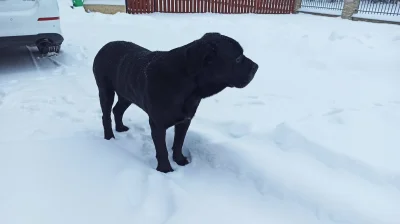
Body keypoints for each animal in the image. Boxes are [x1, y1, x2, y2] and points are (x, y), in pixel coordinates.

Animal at [92, 32, 258, 173]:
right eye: (238, 58)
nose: (256, 67)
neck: (186, 86)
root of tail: (104, 47)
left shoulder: (185, 120)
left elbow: (179, 142)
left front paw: (180, 160)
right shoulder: (157, 124)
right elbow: (162, 150)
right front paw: (165, 170)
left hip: (127, 94)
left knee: (117, 110)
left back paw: (120, 128)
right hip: (105, 90)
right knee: (106, 115)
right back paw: (109, 137)